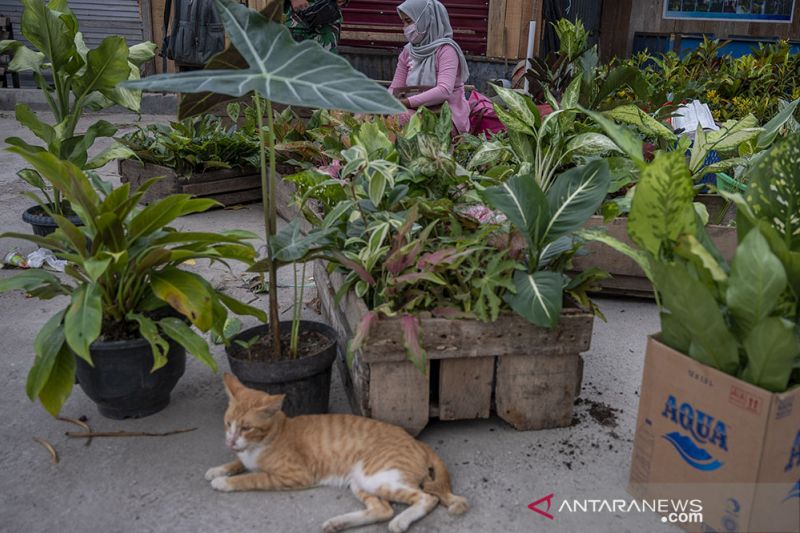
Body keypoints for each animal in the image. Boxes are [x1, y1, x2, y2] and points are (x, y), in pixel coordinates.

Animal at [206, 372, 468, 528]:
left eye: (247, 427)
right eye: (228, 424)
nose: (230, 441)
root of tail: (418, 442)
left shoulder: (295, 476)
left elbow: (253, 477)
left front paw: (224, 482)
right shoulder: (244, 455)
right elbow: (239, 463)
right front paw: (218, 469)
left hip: (376, 477)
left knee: (426, 498)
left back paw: (401, 522)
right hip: (361, 482)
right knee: (383, 510)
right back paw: (338, 523)